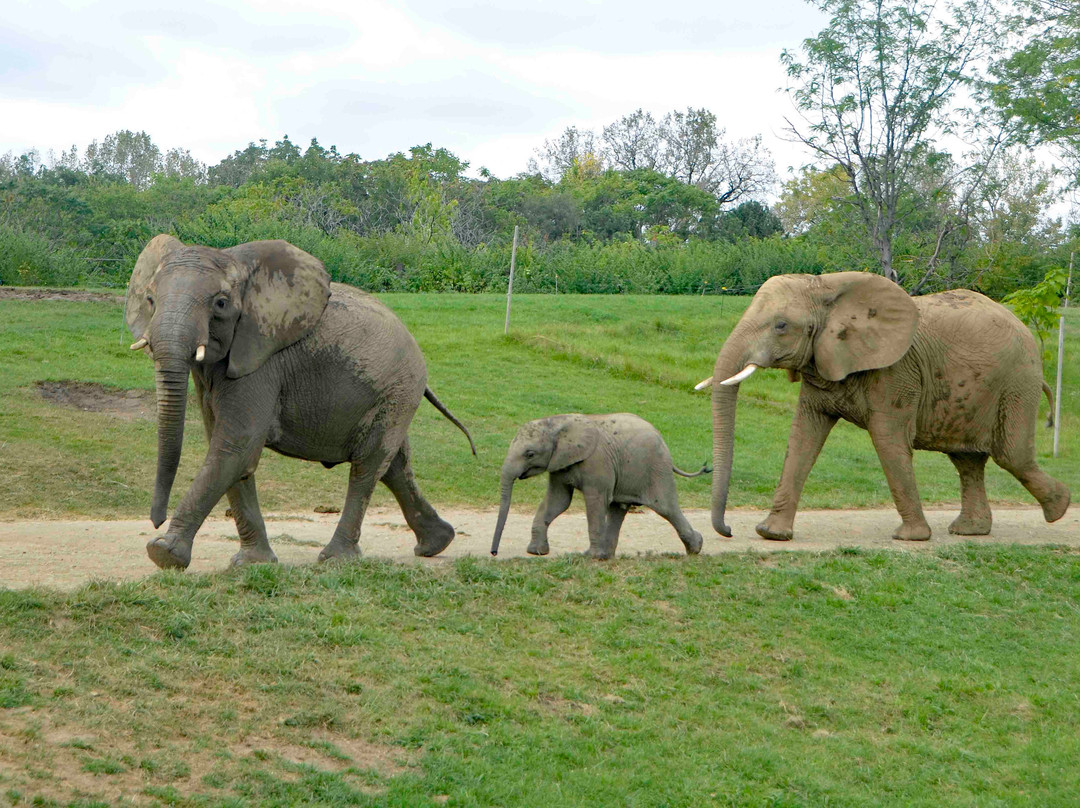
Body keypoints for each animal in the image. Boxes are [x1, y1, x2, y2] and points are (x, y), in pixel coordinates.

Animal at [125, 234, 475, 570]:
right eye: (150, 300)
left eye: (220, 304)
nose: (156, 521)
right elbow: (229, 450)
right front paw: (251, 564)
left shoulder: (261, 361)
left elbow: (235, 446)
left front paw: (163, 554)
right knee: (395, 466)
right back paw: (436, 544)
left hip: (399, 387)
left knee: (368, 465)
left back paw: (336, 559)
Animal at [490, 413, 709, 559]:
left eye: (530, 454)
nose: (494, 552)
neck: (557, 422)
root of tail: (662, 438)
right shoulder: (559, 462)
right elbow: (557, 501)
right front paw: (536, 552)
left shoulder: (597, 463)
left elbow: (595, 502)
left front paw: (590, 557)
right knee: (618, 508)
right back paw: (606, 556)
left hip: (655, 467)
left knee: (665, 507)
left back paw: (695, 548)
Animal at [701, 271, 1070, 542]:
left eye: (781, 326)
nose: (729, 530)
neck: (825, 286)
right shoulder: (822, 362)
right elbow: (804, 435)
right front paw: (771, 534)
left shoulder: (896, 371)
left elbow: (887, 438)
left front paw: (911, 538)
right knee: (967, 460)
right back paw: (971, 531)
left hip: (1017, 382)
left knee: (1011, 455)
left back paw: (1060, 509)